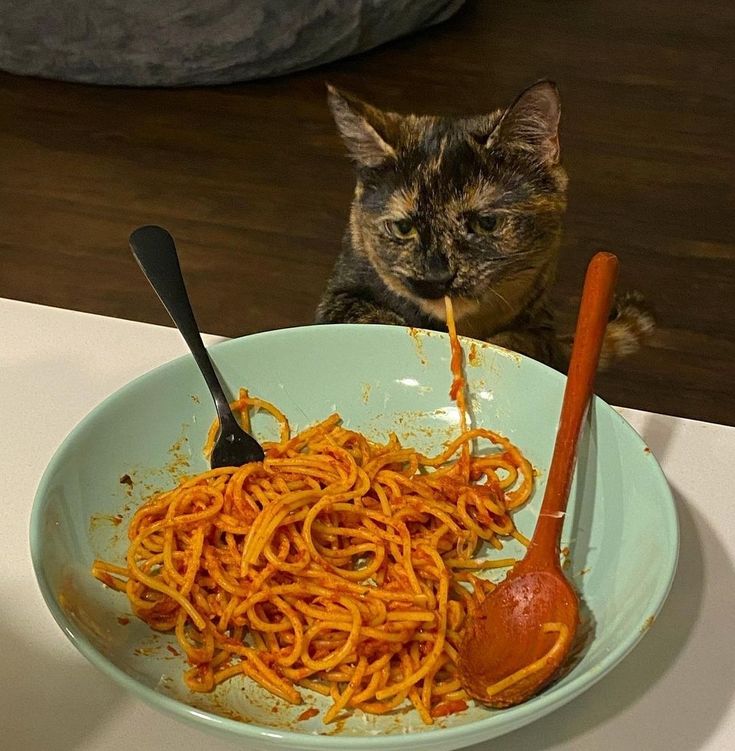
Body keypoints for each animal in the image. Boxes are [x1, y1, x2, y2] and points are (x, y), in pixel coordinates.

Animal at [318, 81, 656, 370]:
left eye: (487, 223)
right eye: (403, 228)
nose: (436, 278)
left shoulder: (542, 330)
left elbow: (524, 343)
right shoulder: (339, 296)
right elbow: (371, 315)